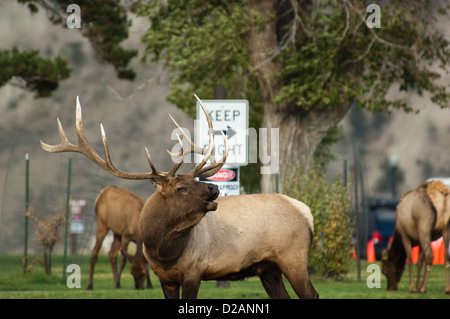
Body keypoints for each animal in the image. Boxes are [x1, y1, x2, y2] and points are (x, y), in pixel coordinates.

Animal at [40, 95, 318, 300]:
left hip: (294, 258)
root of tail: (306, 212)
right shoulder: (166, 278)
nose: (214, 189)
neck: (164, 250)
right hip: (268, 267)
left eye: (195, 181)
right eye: (182, 187)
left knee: (311, 295)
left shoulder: (195, 270)